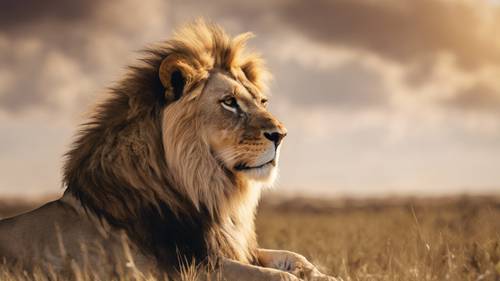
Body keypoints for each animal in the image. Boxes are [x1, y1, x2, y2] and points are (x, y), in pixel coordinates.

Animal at [0, 21, 336, 280]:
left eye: (262, 101)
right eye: (229, 102)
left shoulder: (229, 247)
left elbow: (295, 258)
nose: (281, 135)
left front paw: (327, 275)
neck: (208, 188)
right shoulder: (185, 267)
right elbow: (277, 275)